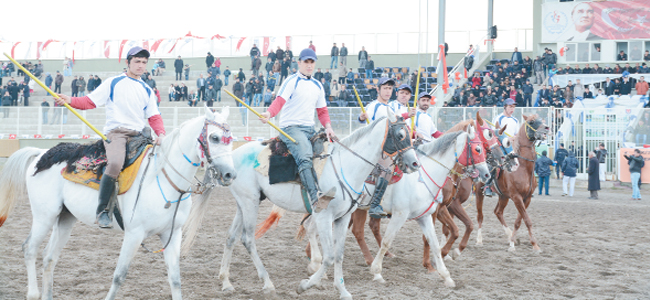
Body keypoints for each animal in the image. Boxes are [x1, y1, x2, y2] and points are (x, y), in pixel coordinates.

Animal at [0, 106, 237, 298]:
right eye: (215, 138)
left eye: (231, 138)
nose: (230, 174)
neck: (161, 179)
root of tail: (42, 153)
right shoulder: (134, 234)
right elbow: (119, 276)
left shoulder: (172, 234)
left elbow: (176, 279)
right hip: (44, 216)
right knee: (29, 249)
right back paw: (33, 293)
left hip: (65, 218)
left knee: (49, 258)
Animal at [210, 110, 418, 300]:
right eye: (400, 135)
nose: (415, 163)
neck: (346, 167)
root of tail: (232, 156)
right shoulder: (324, 216)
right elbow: (329, 257)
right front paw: (305, 285)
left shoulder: (343, 218)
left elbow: (339, 255)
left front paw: (342, 290)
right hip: (250, 203)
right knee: (247, 239)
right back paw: (268, 284)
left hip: (244, 203)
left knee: (230, 237)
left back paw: (226, 282)